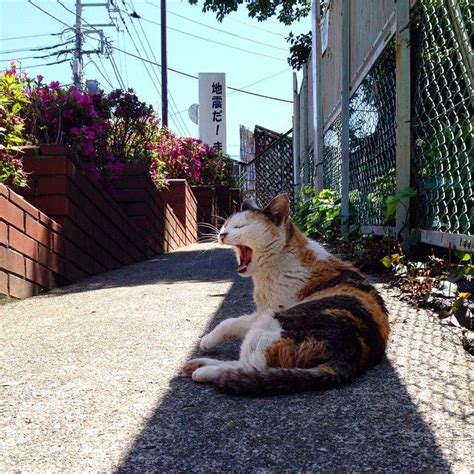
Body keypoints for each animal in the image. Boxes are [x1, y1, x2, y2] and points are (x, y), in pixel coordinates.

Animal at [181, 193, 388, 396]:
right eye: (226, 225)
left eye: (241, 226)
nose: (222, 234)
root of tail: (350, 353)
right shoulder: (262, 311)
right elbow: (230, 321)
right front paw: (209, 340)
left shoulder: (272, 310)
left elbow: (231, 322)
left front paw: (207, 342)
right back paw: (197, 364)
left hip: (271, 325)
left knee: (250, 366)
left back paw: (204, 370)